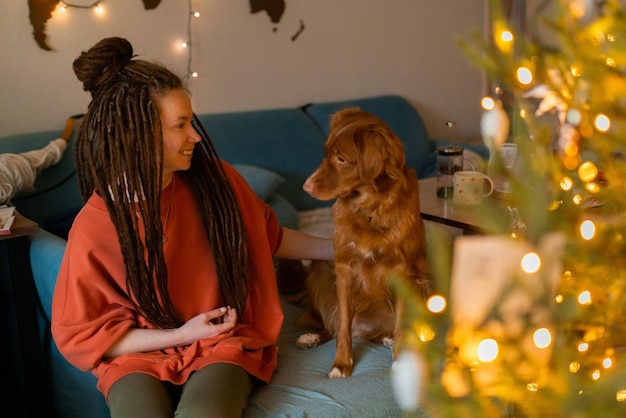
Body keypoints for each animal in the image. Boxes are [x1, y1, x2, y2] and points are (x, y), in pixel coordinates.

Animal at [298, 108, 428, 378]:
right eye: (325, 153)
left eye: (341, 159)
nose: (305, 186)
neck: (370, 208)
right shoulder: (344, 268)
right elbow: (343, 325)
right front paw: (341, 363)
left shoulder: (402, 272)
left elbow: (400, 324)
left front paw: (400, 358)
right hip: (318, 271)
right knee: (335, 327)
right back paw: (312, 337)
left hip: (423, 285)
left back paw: (390, 339)